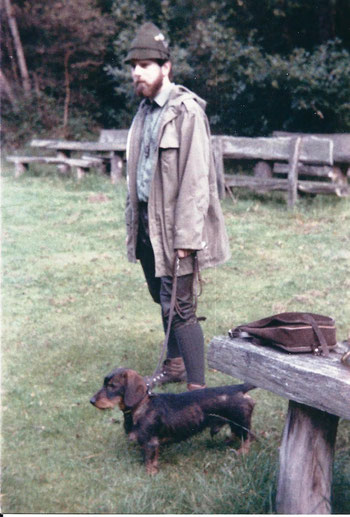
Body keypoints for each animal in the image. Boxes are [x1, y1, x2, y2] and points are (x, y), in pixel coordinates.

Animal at [89, 366, 254, 476]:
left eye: (112, 386)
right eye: (104, 384)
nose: (91, 401)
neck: (142, 404)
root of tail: (238, 388)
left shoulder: (150, 442)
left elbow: (148, 460)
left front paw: (150, 474)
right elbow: (153, 458)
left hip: (241, 422)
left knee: (247, 438)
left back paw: (242, 453)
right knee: (236, 434)